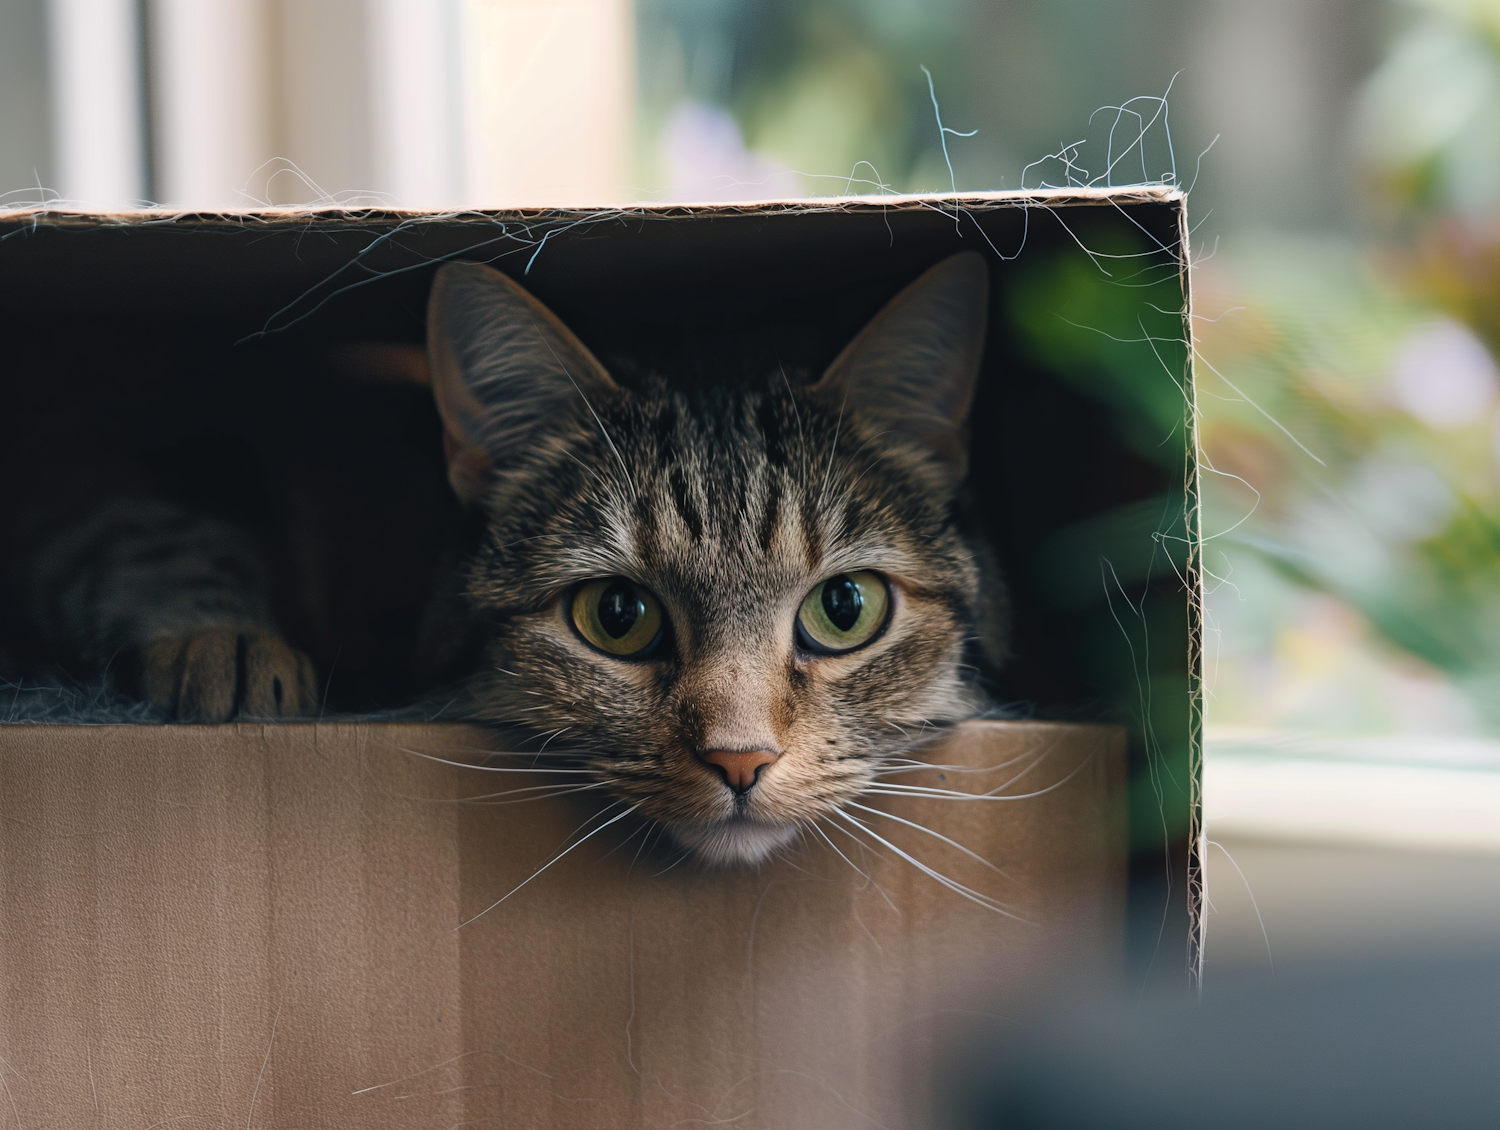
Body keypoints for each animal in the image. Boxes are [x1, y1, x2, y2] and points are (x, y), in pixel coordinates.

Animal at [5, 250, 1008, 858]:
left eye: (845, 609)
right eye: (617, 615)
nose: (740, 761)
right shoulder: (78, 485)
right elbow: (152, 536)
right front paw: (226, 644)